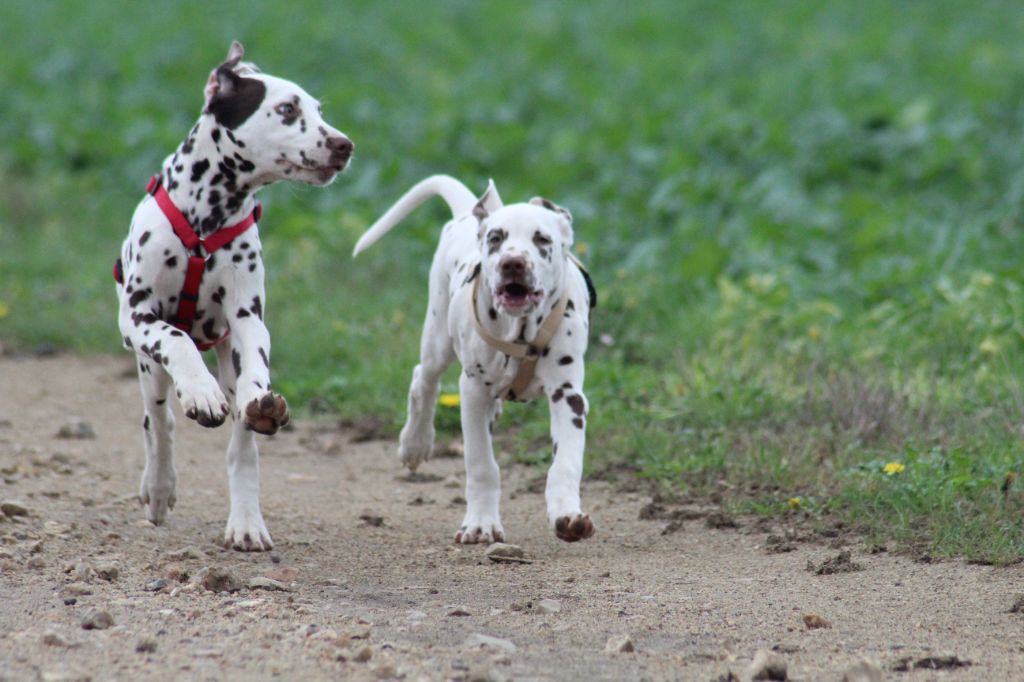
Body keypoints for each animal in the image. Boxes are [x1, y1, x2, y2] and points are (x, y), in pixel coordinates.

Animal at [115, 41, 353, 551]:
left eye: (319, 110)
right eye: (287, 110)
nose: (345, 145)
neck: (206, 222)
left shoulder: (246, 321)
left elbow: (255, 375)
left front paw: (256, 400)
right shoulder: (138, 319)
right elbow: (178, 341)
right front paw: (200, 392)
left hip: (227, 355)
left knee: (242, 444)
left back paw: (246, 521)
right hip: (148, 370)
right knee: (158, 423)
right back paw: (159, 487)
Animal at [353, 175, 597, 544]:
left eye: (542, 239)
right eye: (496, 238)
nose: (513, 263)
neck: (520, 332)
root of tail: (467, 214)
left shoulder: (568, 395)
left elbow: (565, 462)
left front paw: (567, 515)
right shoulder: (472, 391)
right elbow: (481, 463)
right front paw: (481, 523)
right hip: (438, 338)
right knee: (424, 379)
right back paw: (415, 442)